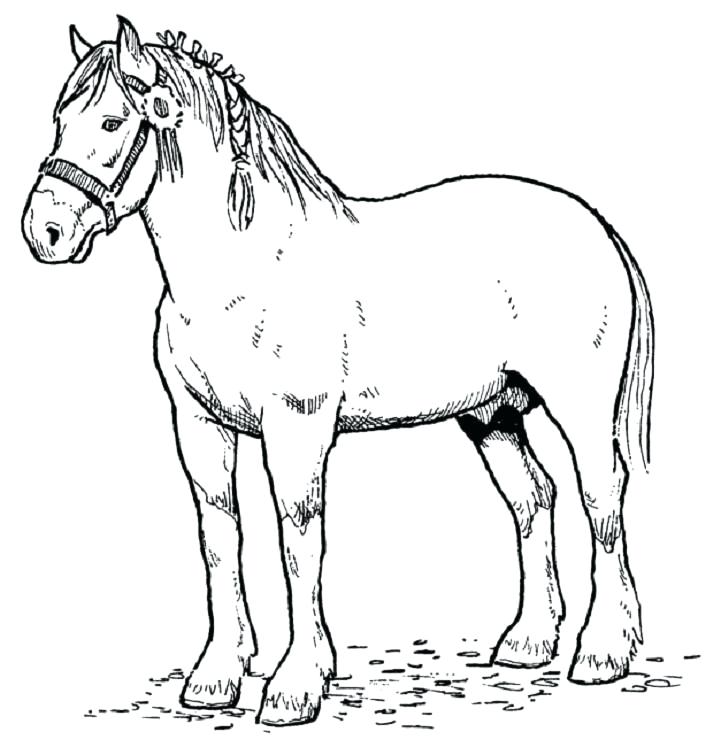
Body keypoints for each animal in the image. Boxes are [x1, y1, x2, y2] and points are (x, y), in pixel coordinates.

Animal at [21, 17, 654, 726]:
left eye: (111, 122)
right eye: (59, 118)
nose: (44, 230)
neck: (243, 268)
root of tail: (596, 227)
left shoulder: (296, 427)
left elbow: (299, 541)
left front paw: (296, 684)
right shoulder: (199, 426)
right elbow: (220, 538)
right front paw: (217, 676)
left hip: (582, 408)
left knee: (602, 497)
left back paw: (603, 652)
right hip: (490, 414)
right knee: (533, 497)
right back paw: (528, 642)